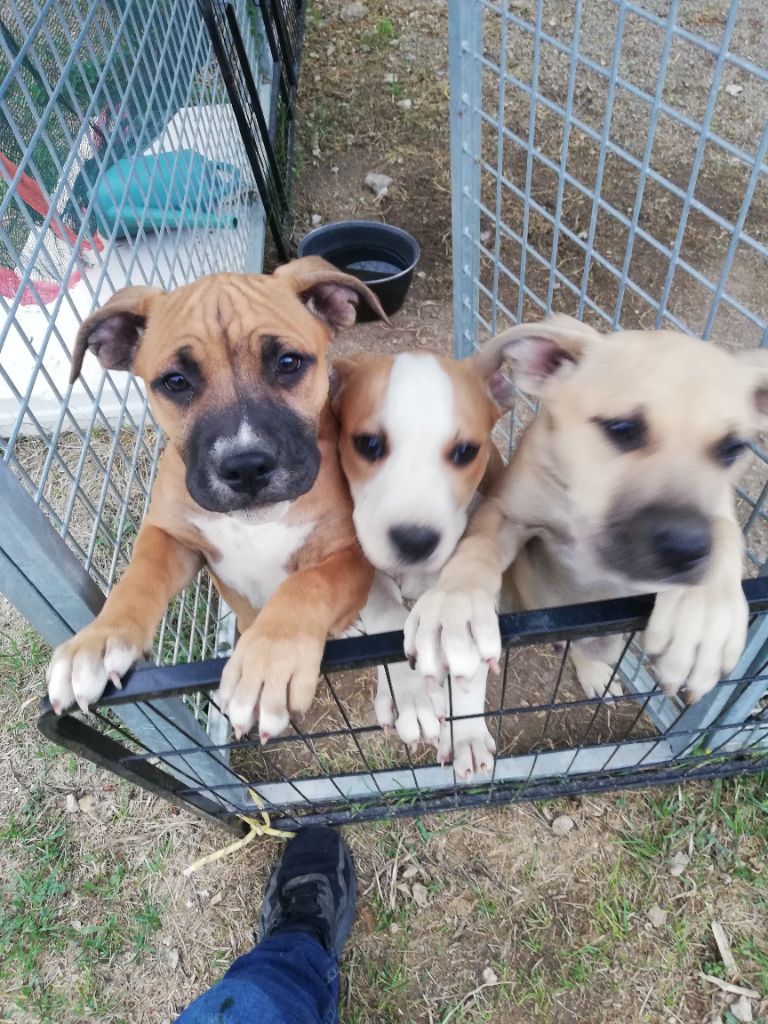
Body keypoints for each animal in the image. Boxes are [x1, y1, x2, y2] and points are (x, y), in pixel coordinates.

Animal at [331, 350, 507, 770]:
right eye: (368, 444)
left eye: (466, 452)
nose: (414, 541)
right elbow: (387, 619)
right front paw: (409, 694)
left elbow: (468, 658)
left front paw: (466, 735)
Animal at [405, 317, 765, 770]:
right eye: (622, 429)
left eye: (733, 448)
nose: (685, 548)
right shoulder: (504, 511)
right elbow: (475, 551)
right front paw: (456, 605)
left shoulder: (716, 510)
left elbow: (724, 528)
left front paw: (701, 614)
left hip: (610, 635)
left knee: (587, 644)